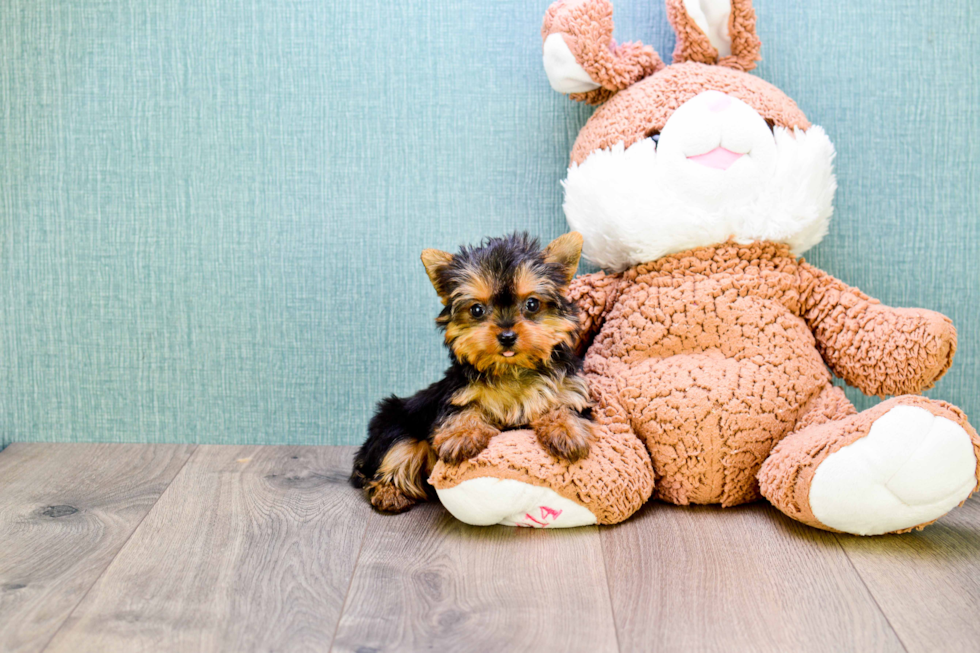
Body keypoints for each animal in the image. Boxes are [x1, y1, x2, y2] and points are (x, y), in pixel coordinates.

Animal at [352, 232, 596, 512]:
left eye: (532, 304)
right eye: (477, 310)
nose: (507, 336)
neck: (511, 369)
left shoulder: (569, 388)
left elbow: (565, 406)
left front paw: (566, 432)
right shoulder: (456, 393)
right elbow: (465, 409)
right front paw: (462, 435)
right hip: (394, 418)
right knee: (398, 448)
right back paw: (389, 491)